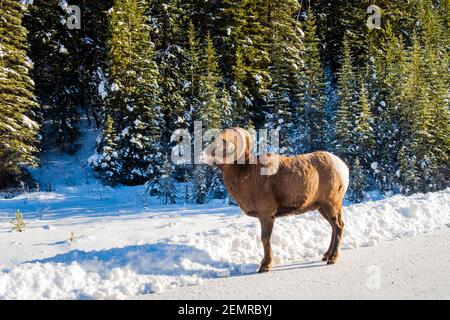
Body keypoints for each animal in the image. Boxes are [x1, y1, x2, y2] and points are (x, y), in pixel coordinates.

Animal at [202, 127, 350, 272]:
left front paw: (265, 265)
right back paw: (326, 256)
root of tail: (342, 167)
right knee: (333, 227)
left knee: (338, 226)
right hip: (322, 208)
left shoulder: (267, 215)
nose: (203, 155)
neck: (244, 172)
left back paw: (332, 258)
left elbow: (265, 239)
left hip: (331, 205)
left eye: (219, 144)